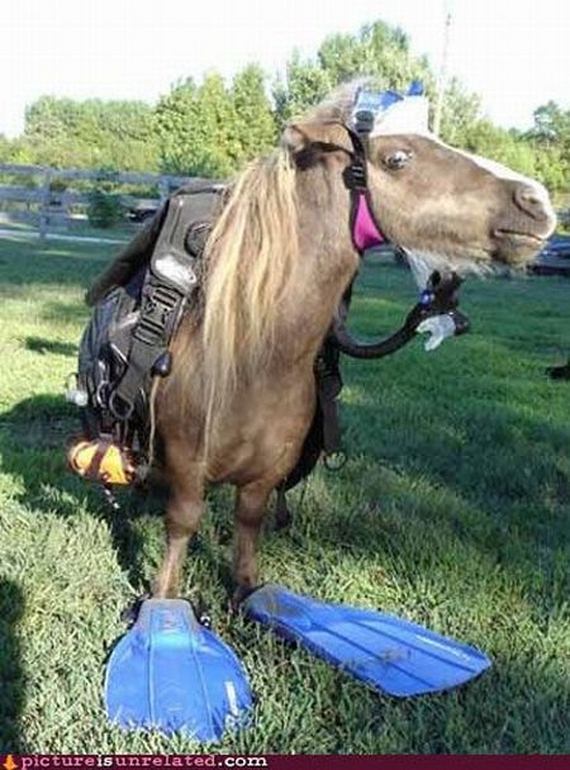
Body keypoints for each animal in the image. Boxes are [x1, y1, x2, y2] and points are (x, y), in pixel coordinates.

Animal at [111, 83, 555, 604]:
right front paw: (162, 597)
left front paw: (245, 591)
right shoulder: (187, 464)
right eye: (397, 158)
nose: (538, 203)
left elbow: (249, 525)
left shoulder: (265, 475)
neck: (254, 361)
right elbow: (181, 524)